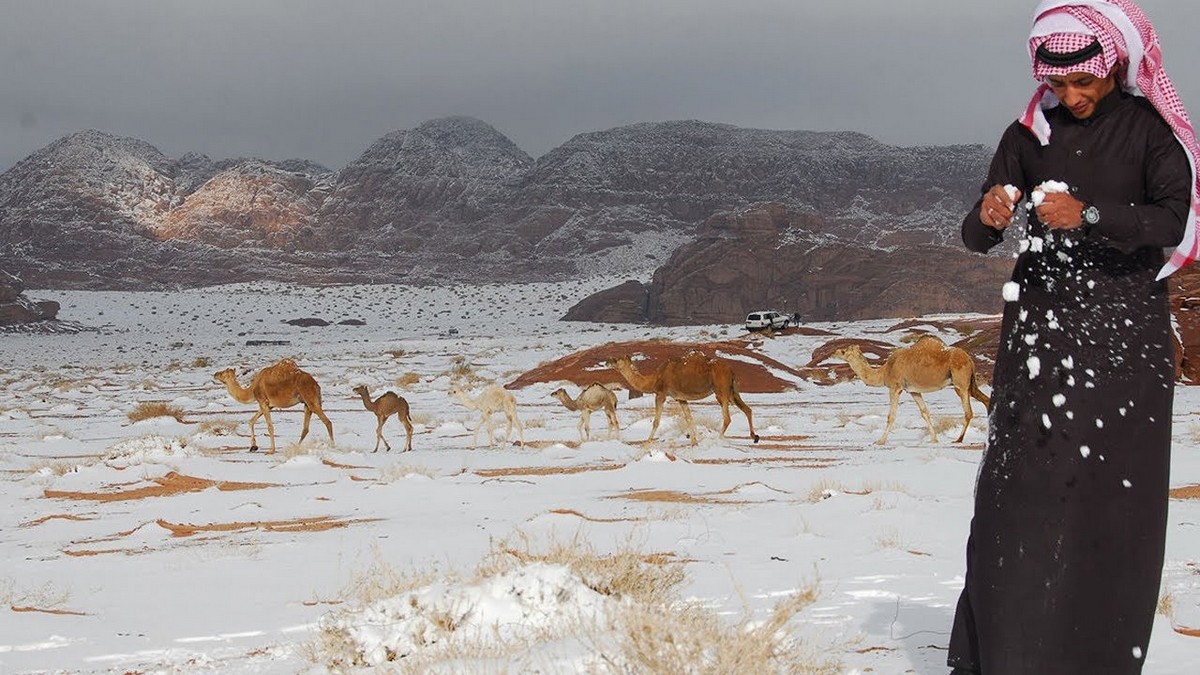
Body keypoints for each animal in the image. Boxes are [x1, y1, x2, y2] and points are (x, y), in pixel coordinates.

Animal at [604, 348, 763, 444]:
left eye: (616, 360)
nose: (607, 361)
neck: (654, 378)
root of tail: (731, 370)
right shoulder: (681, 398)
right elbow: (689, 418)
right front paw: (694, 441)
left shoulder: (661, 393)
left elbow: (656, 421)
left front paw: (647, 442)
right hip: (732, 390)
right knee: (747, 409)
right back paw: (754, 436)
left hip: (721, 390)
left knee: (727, 417)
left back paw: (717, 439)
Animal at [835, 333, 993, 444]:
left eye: (844, 352)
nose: (835, 352)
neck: (885, 371)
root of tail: (969, 359)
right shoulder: (914, 391)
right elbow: (925, 412)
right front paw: (934, 439)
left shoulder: (895, 387)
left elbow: (891, 416)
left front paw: (880, 441)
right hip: (970, 384)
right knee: (986, 401)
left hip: (960, 383)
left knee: (968, 412)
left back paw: (958, 439)